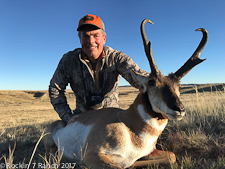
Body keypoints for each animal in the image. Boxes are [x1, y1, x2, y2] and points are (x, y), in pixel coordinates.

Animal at [44, 19, 207, 168]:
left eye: (178, 86)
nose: (180, 109)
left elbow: (171, 156)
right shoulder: (91, 155)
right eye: (151, 82)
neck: (128, 124)